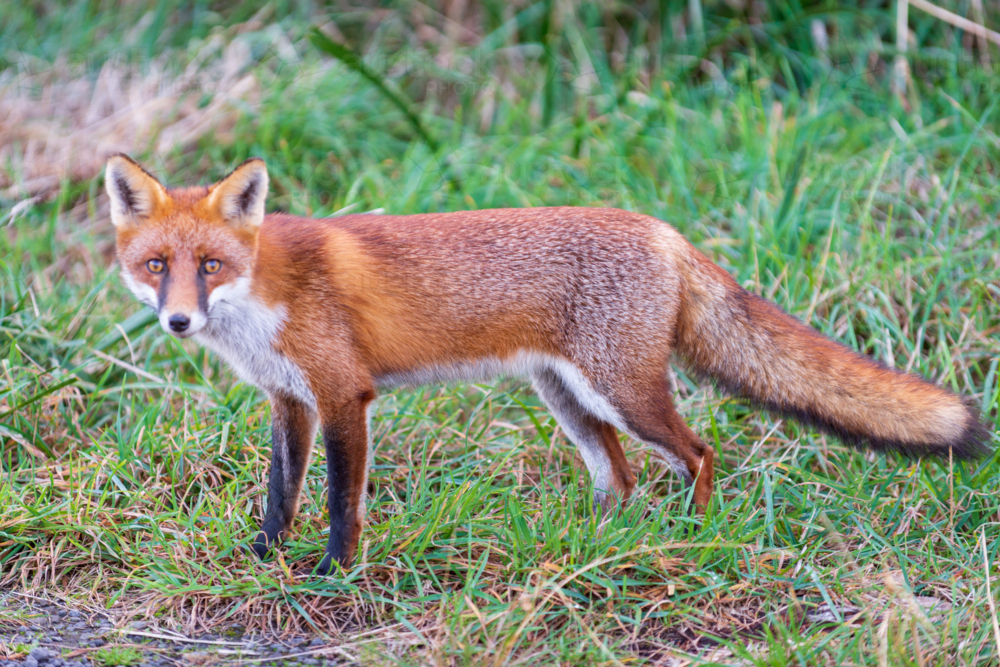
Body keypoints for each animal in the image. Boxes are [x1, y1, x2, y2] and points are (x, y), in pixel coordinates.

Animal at [105, 153, 990, 574]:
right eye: (157, 266)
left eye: (210, 265)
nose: (178, 320)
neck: (263, 301)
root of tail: (664, 230)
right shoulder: (289, 400)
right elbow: (279, 496)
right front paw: (262, 562)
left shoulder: (343, 394)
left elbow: (336, 502)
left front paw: (331, 572)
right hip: (564, 394)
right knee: (620, 476)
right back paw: (596, 543)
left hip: (623, 390)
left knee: (700, 452)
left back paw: (693, 534)